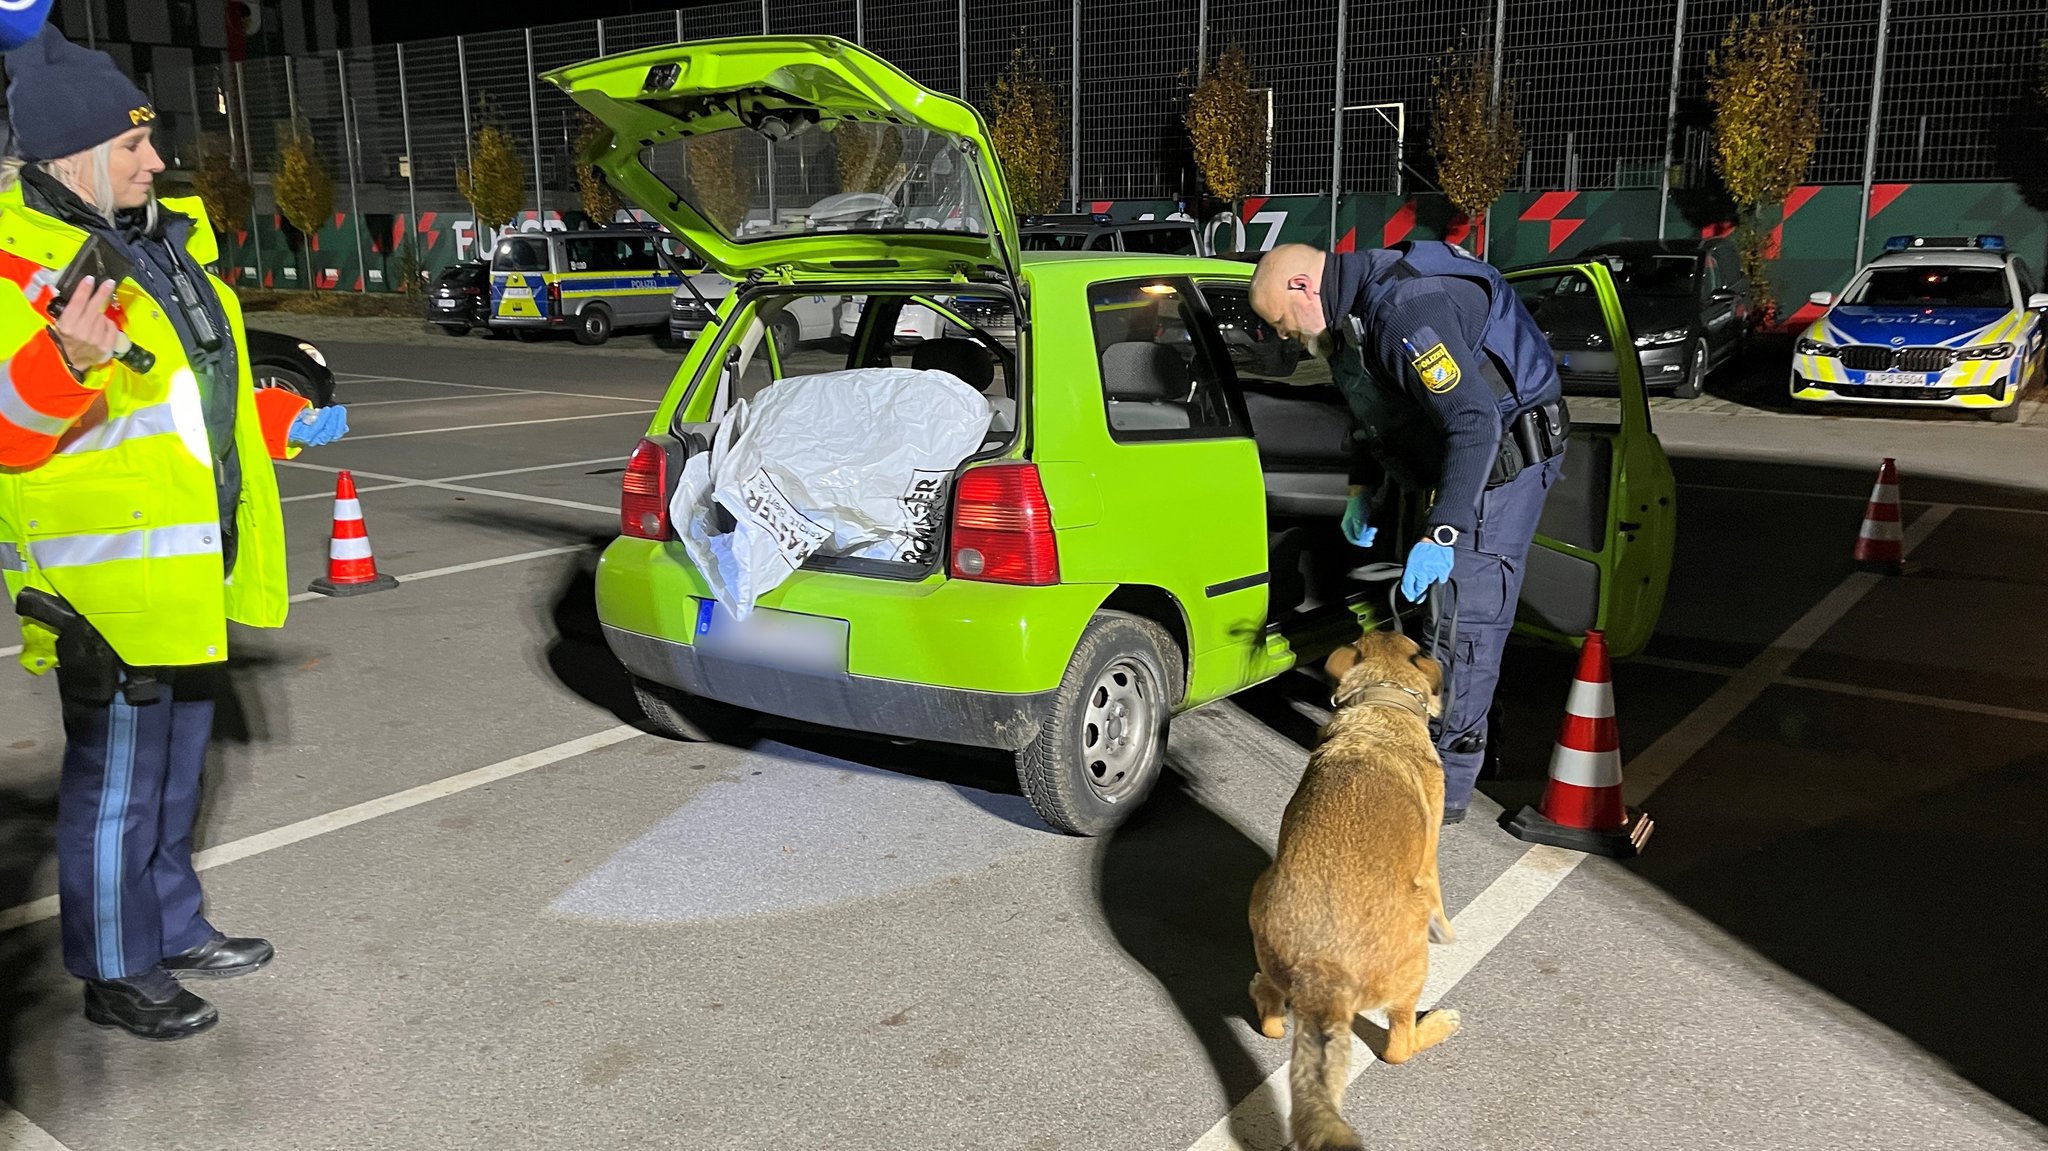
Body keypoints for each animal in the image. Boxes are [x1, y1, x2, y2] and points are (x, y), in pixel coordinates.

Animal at [1245, 626, 1458, 1146]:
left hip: (1261, 896)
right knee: (1398, 1048)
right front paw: (1448, 932)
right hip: (1412, 968)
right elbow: (1440, 900)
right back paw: (1437, 1025)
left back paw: (1262, 994)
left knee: (1273, 1024)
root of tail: (1324, 975)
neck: (1382, 705)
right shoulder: (1429, 861)